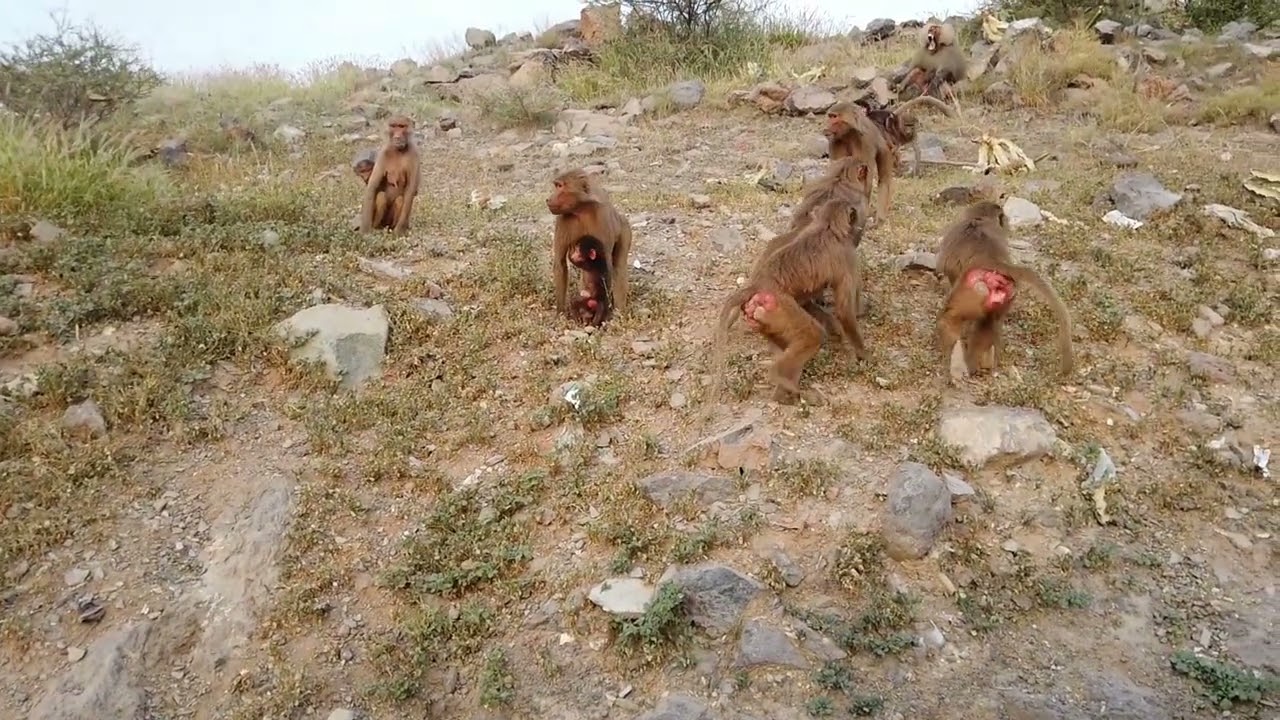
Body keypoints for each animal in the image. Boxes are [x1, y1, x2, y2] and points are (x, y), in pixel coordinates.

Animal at [548, 168, 633, 317]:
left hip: (625, 229)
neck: (582, 209)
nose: (548, 199)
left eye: (560, 186)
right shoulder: (562, 219)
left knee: (619, 266)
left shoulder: (602, 217)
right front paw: (561, 313)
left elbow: (604, 265)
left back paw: (618, 312)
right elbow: (560, 263)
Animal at [710, 194, 869, 404]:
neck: (827, 226)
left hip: (768, 316)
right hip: (779, 306)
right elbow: (844, 310)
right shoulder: (847, 255)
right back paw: (781, 377)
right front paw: (863, 354)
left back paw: (783, 393)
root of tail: (759, 284)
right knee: (813, 334)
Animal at [934, 201, 1073, 381]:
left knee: (951, 318)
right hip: (1006, 293)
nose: (1006, 222)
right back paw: (980, 367)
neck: (979, 219)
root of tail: (992, 261)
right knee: (988, 325)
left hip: (973, 289)